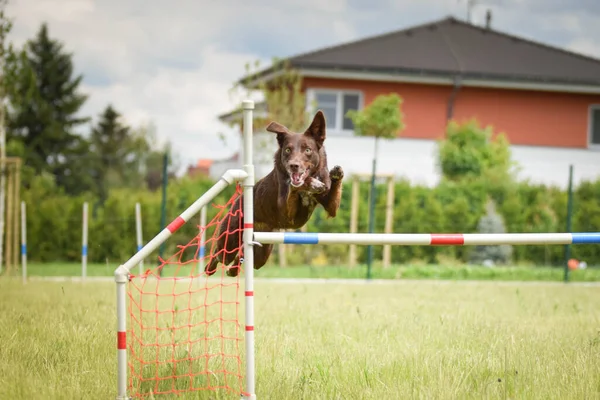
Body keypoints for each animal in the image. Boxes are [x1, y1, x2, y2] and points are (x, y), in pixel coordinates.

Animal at [205, 111, 342, 276]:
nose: (294, 165)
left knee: (244, 256)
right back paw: (210, 269)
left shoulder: (330, 206)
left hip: (262, 251)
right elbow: (295, 187)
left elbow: (332, 200)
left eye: (308, 150)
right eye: (288, 150)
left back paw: (233, 269)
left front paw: (337, 174)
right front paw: (310, 183)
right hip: (230, 240)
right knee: (219, 255)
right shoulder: (287, 212)